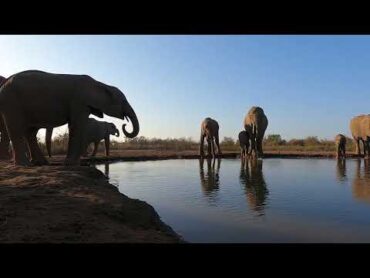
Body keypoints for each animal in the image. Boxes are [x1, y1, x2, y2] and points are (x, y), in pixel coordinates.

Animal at [0, 70, 139, 165]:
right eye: (123, 101)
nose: (125, 125)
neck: (101, 84)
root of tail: (4, 84)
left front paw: (74, 163)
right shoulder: (79, 102)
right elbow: (76, 125)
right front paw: (71, 163)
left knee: (30, 132)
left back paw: (41, 163)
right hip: (12, 103)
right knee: (16, 129)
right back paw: (25, 164)